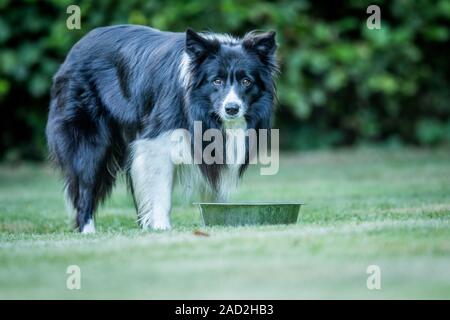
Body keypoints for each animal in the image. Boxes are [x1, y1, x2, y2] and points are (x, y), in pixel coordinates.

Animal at [45, 25, 278, 232]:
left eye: (246, 81)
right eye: (217, 81)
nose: (232, 109)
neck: (199, 107)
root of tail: (76, 48)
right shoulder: (157, 139)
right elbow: (160, 187)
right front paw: (161, 226)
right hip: (89, 138)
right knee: (85, 184)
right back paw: (88, 229)